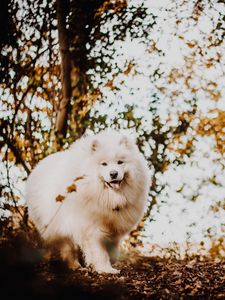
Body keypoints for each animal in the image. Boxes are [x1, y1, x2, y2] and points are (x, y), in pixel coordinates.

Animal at [25, 130, 149, 274]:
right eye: (104, 164)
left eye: (120, 162)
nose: (113, 174)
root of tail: (38, 166)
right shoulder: (93, 227)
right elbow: (100, 252)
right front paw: (105, 269)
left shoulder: (114, 228)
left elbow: (112, 249)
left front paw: (110, 263)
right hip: (60, 226)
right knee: (68, 248)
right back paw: (75, 265)